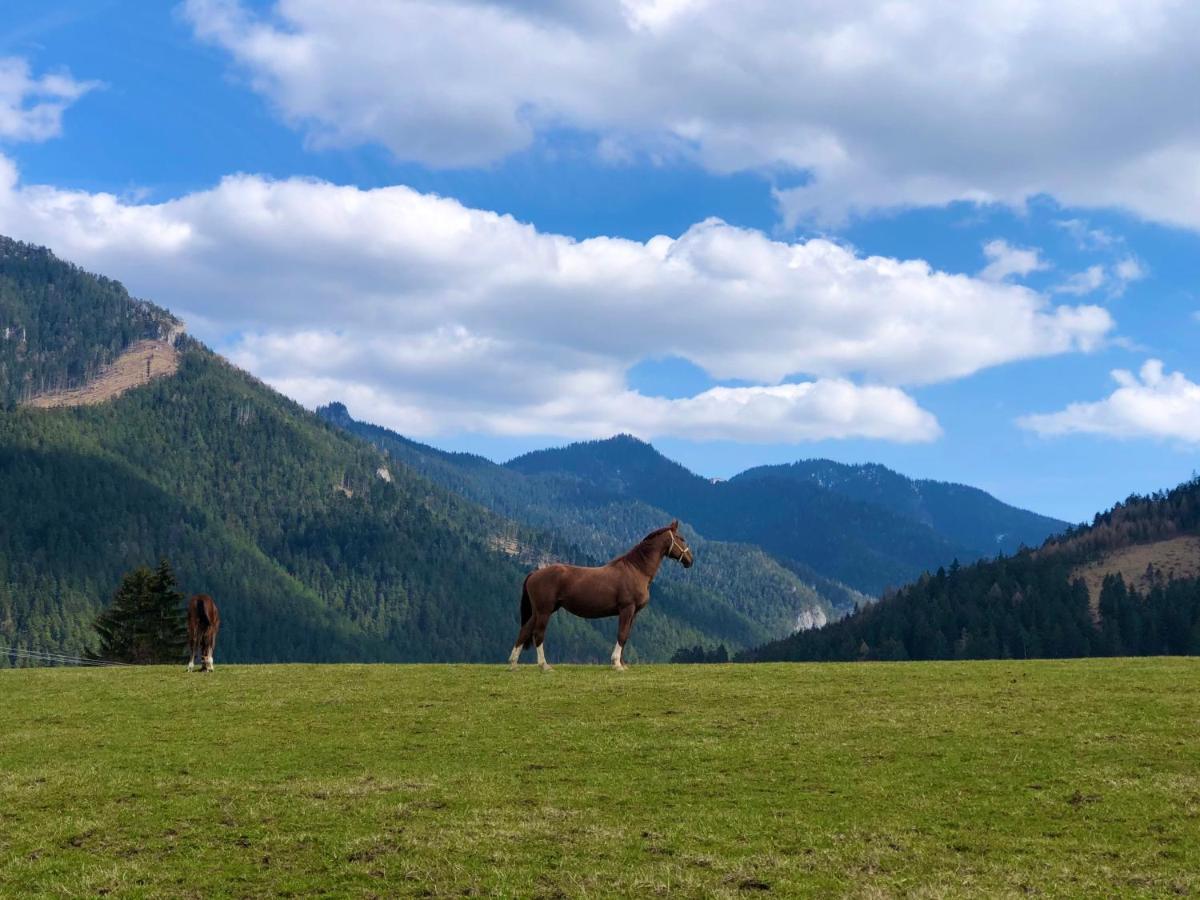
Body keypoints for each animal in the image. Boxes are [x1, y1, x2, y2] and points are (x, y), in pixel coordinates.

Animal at [508, 518, 696, 672]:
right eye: (681, 538)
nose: (690, 560)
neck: (636, 569)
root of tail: (534, 574)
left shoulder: (633, 613)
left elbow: (626, 635)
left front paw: (623, 663)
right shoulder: (626, 609)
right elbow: (621, 634)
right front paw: (616, 664)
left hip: (539, 611)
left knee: (525, 630)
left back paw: (513, 664)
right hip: (544, 611)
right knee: (538, 634)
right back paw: (544, 666)